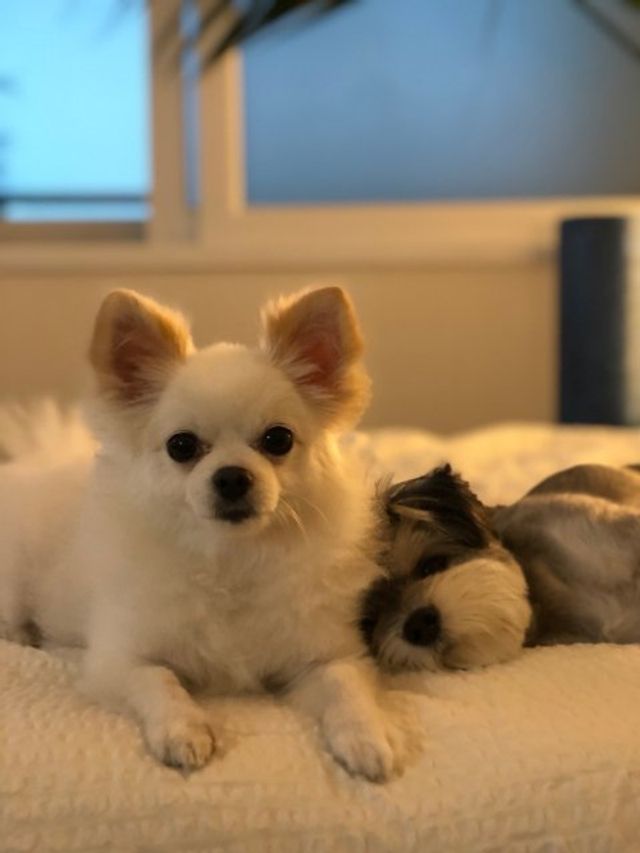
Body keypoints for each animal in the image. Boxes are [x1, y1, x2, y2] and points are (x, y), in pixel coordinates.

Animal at [0, 286, 410, 781]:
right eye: (181, 446)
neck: (231, 558)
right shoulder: (116, 660)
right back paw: (20, 633)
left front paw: (368, 737)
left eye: (278, 440)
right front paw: (184, 730)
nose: (231, 476)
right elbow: (159, 680)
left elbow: (345, 687)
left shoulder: (324, 656)